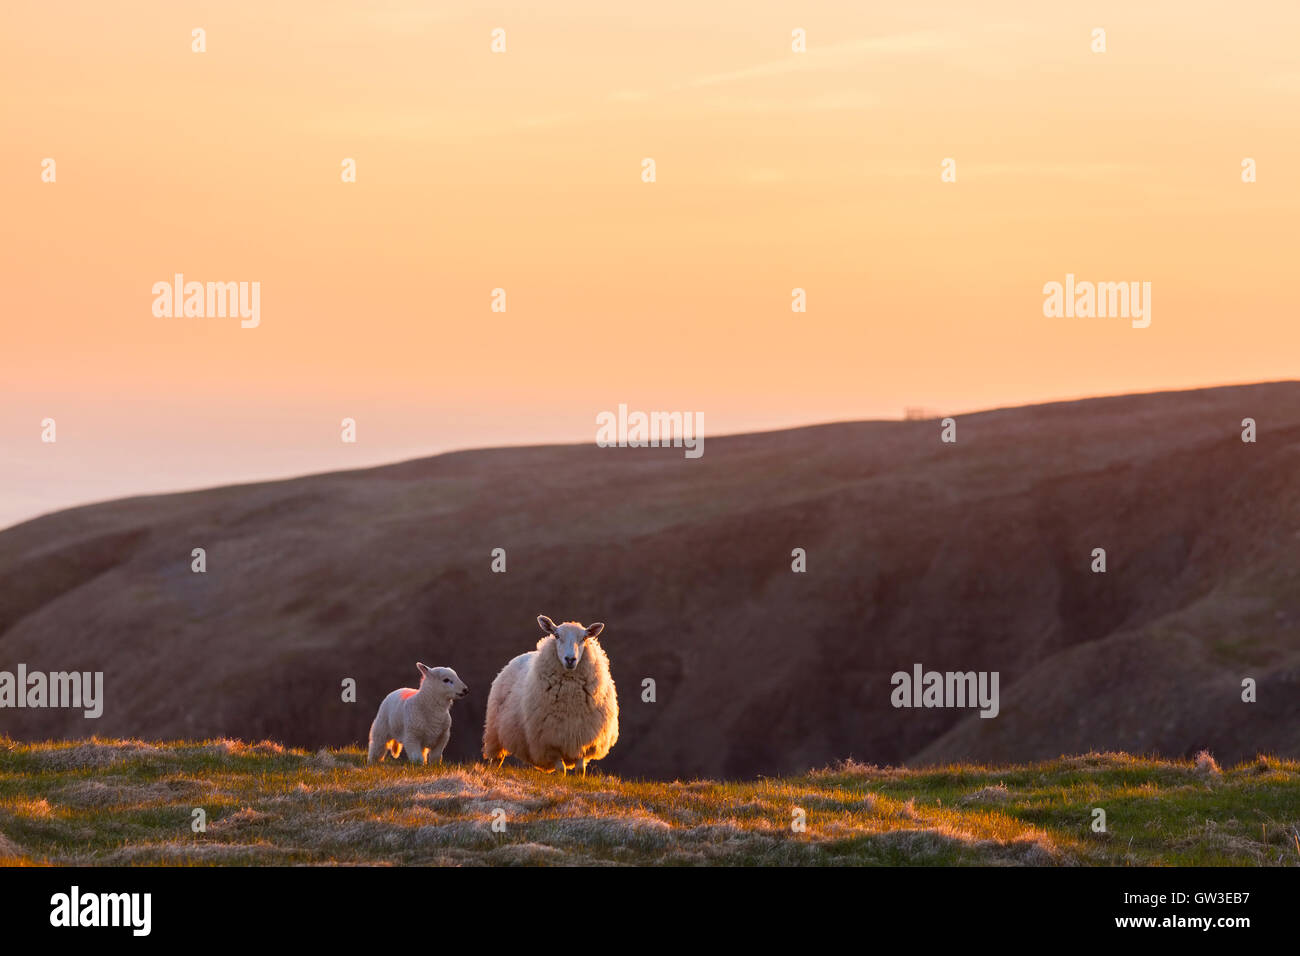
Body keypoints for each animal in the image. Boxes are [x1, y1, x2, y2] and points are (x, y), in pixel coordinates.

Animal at [483, 613, 618, 780]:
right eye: (556, 635)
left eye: (584, 638)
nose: (570, 659)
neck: (571, 700)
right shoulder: (550, 741)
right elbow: (561, 770)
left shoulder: (583, 739)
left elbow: (580, 770)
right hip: (494, 733)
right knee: (496, 759)